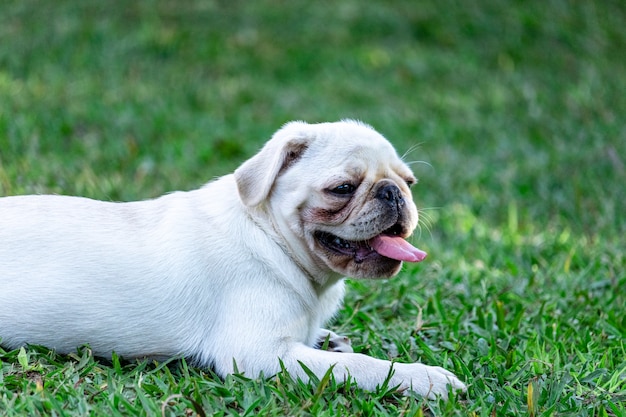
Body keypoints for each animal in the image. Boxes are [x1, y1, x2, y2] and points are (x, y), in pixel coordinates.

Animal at [0, 119, 466, 396]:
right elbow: (359, 366)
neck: (270, 235)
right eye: (342, 189)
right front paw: (420, 376)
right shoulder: (260, 354)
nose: (393, 193)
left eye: (409, 182)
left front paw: (329, 337)